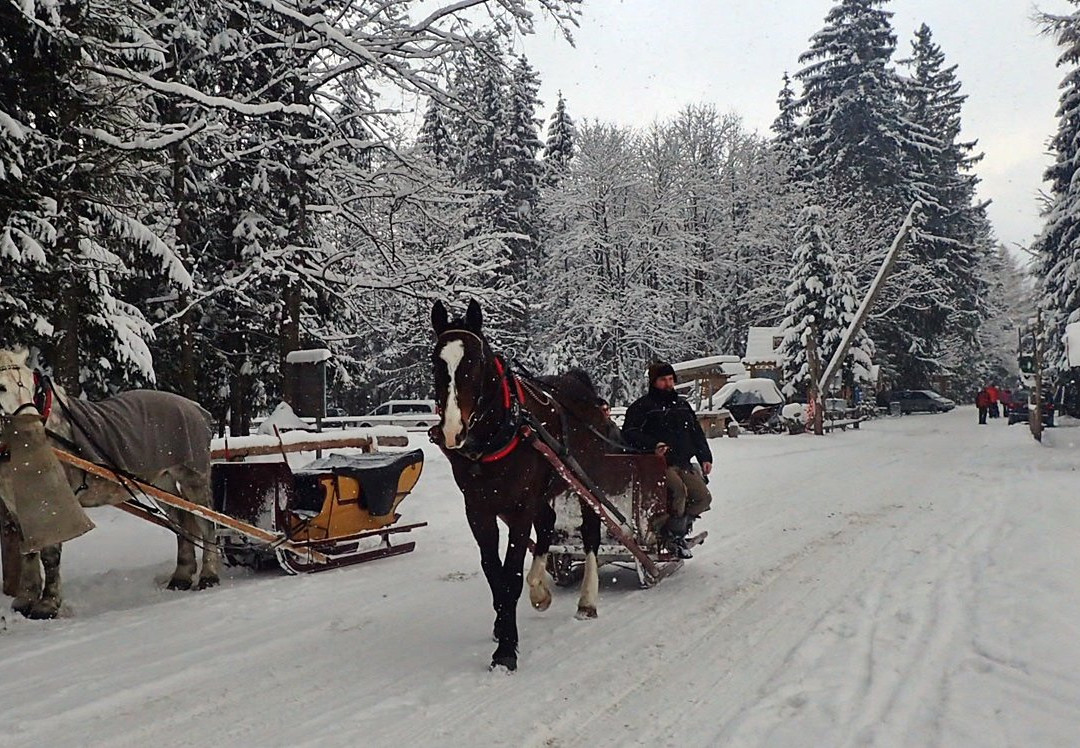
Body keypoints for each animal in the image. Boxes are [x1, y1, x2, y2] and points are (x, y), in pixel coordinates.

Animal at [427, 300, 617, 669]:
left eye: (476, 360)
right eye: (436, 361)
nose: (453, 430)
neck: (499, 433)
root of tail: (579, 383)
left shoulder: (518, 507)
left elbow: (511, 574)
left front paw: (505, 650)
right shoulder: (479, 510)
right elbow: (494, 574)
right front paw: (503, 628)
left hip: (583, 480)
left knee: (590, 533)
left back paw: (587, 599)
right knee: (547, 525)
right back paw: (539, 588)